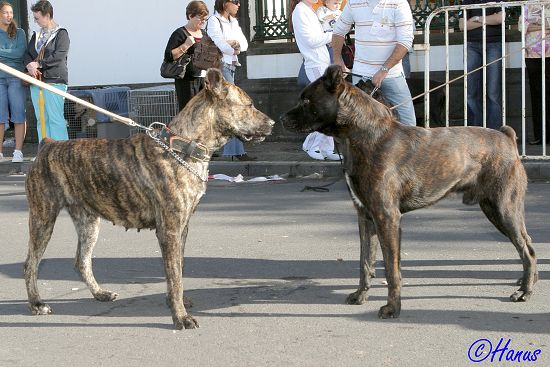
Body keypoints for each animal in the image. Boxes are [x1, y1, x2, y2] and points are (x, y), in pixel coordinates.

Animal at [25, 69, 276, 330]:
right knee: (31, 263)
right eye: (249, 104)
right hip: (43, 218)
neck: (183, 147)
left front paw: (178, 301)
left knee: (81, 261)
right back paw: (37, 304)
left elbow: (178, 268)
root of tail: (47, 145)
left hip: (88, 222)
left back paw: (100, 293)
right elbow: (174, 274)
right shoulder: (170, 230)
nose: (272, 124)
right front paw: (181, 316)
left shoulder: (182, 228)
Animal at [282, 65, 540, 320]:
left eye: (306, 100)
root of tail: (507, 137)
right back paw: (526, 283)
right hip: (495, 210)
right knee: (526, 245)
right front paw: (361, 295)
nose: (282, 119)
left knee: (527, 250)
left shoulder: (386, 217)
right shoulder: (366, 216)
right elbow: (365, 262)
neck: (361, 133)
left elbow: (391, 268)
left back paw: (525, 292)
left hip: (504, 209)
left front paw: (392, 307)